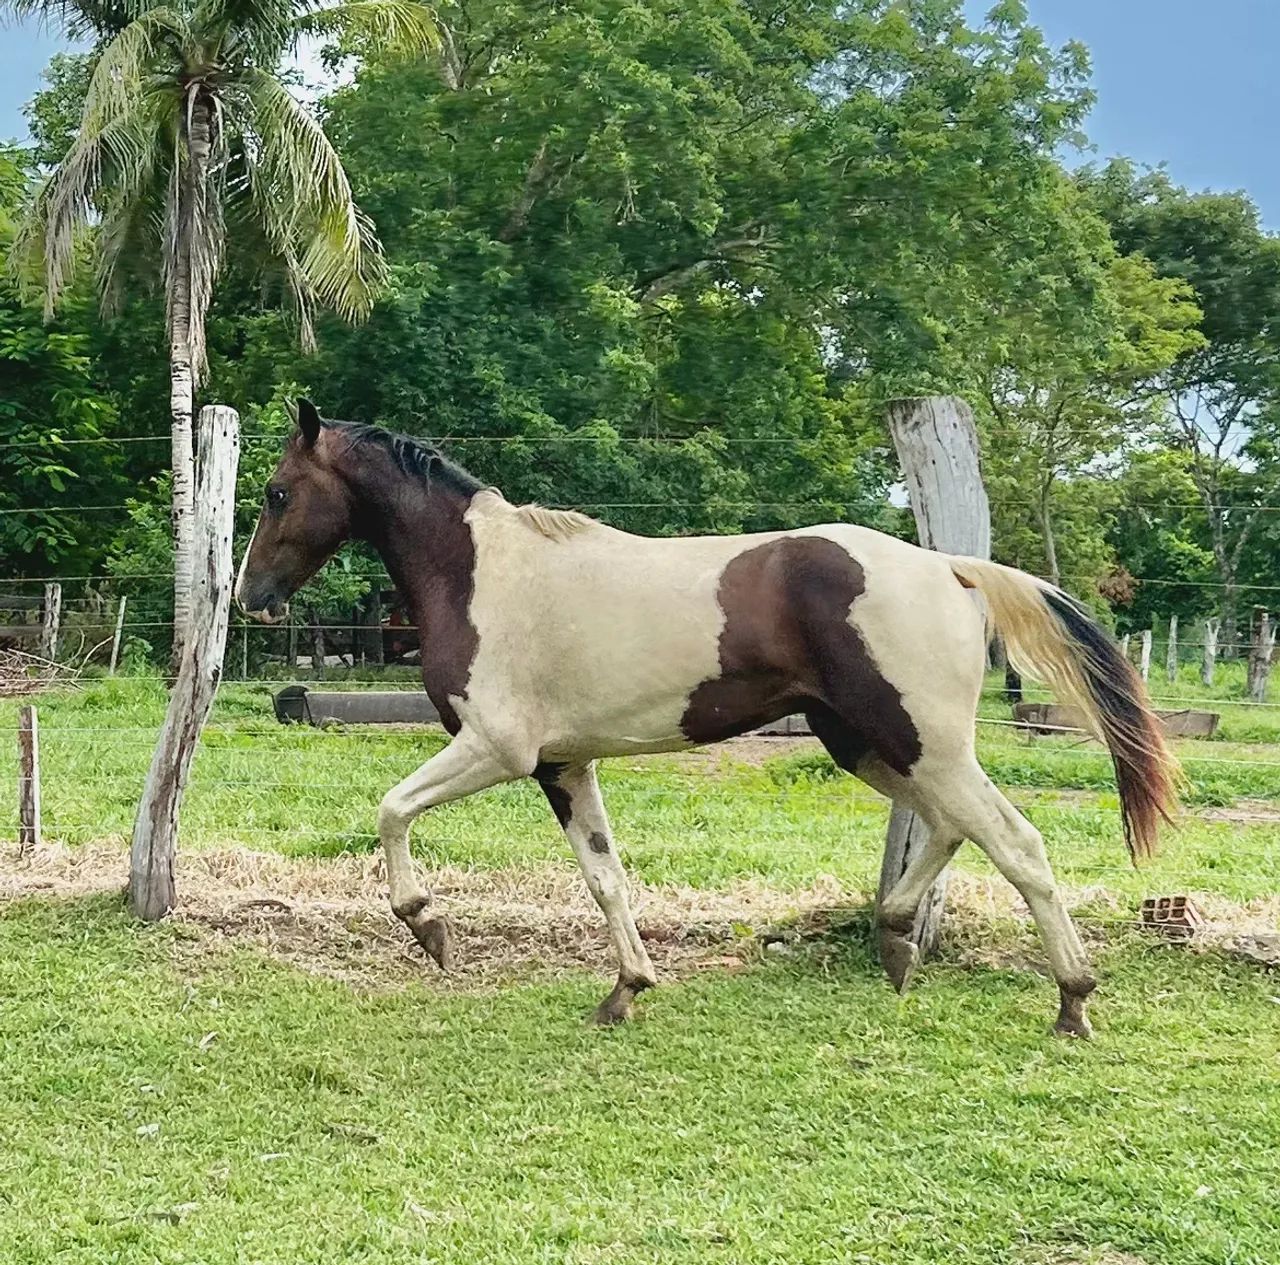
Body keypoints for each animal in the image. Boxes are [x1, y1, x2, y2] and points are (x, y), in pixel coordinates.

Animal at [236, 400, 1178, 1036]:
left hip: (921, 743)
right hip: (868, 745)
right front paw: (625, 989)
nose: (252, 598)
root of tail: (948, 568)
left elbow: (391, 808)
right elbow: (605, 876)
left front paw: (428, 925)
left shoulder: (497, 748)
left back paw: (1072, 1001)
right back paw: (897, 942)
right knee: (951, 830)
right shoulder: (563, 765)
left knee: (1016, 843)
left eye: (279, 492)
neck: (483, 574)